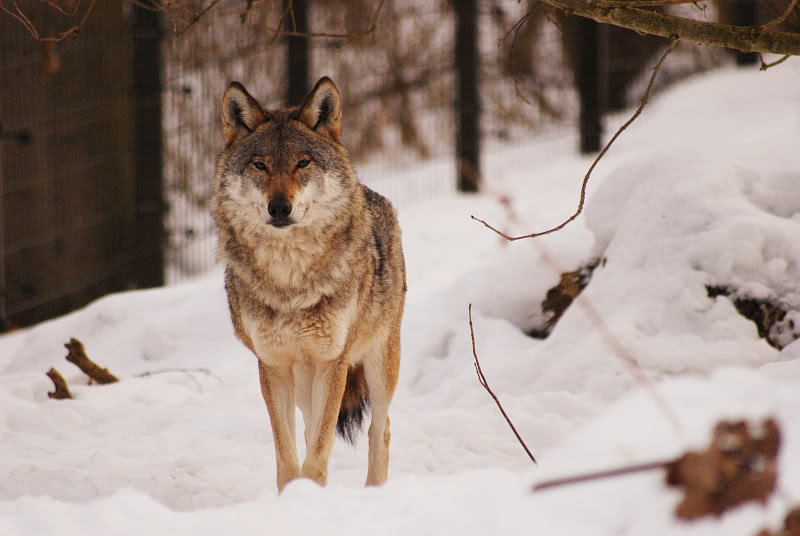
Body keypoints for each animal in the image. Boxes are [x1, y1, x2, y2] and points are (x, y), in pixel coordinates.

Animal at [211, 77, 406, 492]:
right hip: (303, 384)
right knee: (309, 428)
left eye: (302, 163)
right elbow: (288, 457)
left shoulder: (333, 362)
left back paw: (375, 492)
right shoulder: (272, 365)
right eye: (260, 165)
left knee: (380, 429)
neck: (290, 280)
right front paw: (294, 496)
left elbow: (318, 454)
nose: (279, 207)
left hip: (379, 362)